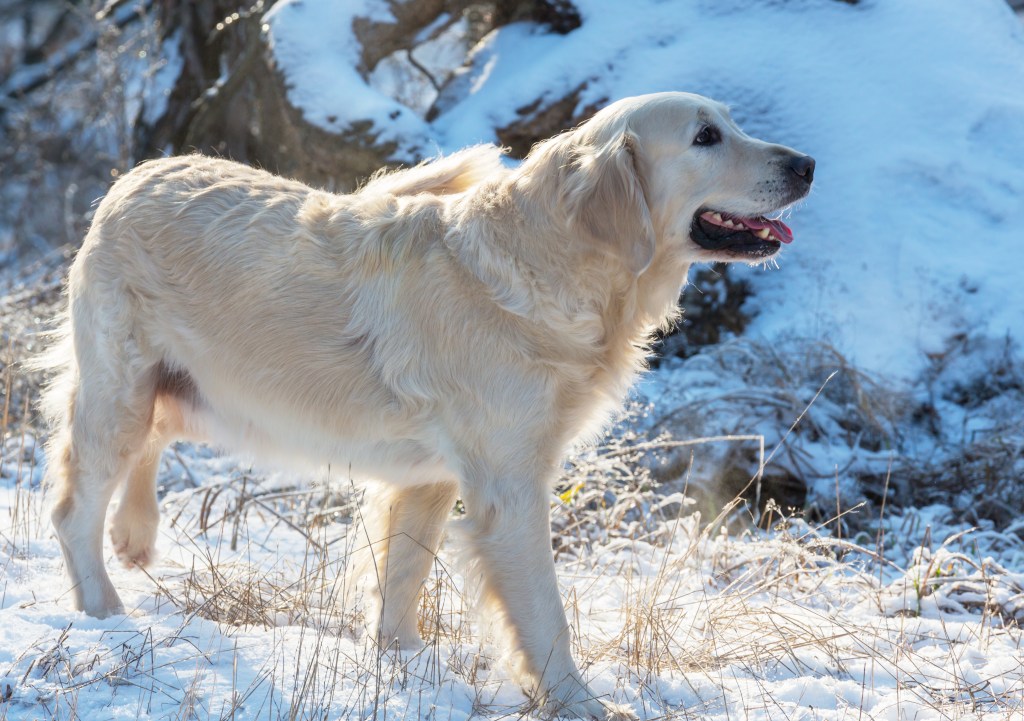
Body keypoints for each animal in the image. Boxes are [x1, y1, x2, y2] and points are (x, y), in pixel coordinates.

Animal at [39, 93, 815, 716]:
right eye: (706, 136)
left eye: (730, 124)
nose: (807, 164)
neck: (552, 264)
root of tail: (136, 175)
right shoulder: (510, 488)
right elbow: (544, 615)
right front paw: (579, 703)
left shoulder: (430, 479)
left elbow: (401, 578)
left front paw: (401, 663)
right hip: (120, 392)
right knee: (73, 506)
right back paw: (105, 611)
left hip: (179, 391)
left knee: (152, 443)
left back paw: (135, 535)